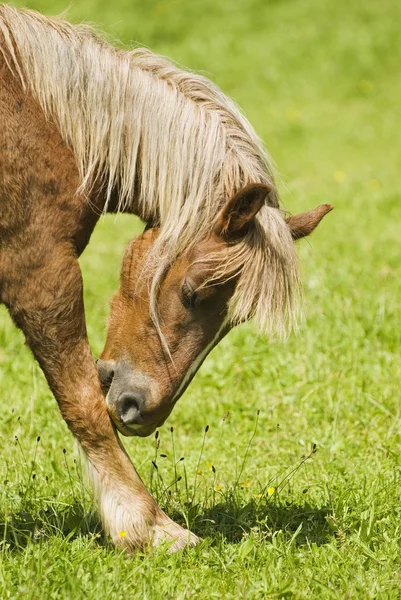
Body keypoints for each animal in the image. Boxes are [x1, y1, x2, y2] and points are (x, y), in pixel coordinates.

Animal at [0, 4, 332, 552]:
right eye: (194, 293)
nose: (143, 410)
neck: (41, 118)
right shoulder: (39, 268)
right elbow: (82, 402)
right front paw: (148, 526)